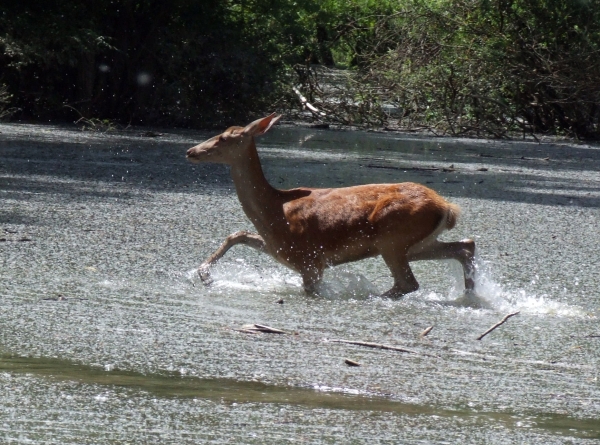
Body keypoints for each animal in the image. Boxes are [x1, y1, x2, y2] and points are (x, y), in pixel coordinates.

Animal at [185, 112, 476, 296]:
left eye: (224, 138)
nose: (191, 151)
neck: (273, 210)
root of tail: (447, 208)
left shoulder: (310, 260)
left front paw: (205, 273)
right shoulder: (281, 250)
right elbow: (239, 234)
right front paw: (203, 273)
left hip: (392, 238)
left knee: (407, 284)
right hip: (416, 243)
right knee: (465, 246)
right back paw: (471, 296)